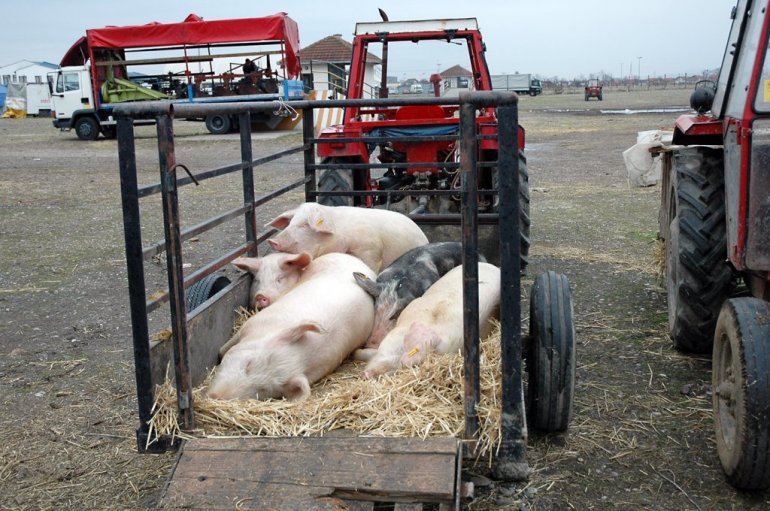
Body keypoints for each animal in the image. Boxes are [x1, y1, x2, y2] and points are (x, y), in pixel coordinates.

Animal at [207, 253, 376, 401]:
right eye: (249, 364)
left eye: (262, 390)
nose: (216, 397)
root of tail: (353, 258)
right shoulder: (252, 323)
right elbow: (223, 350)